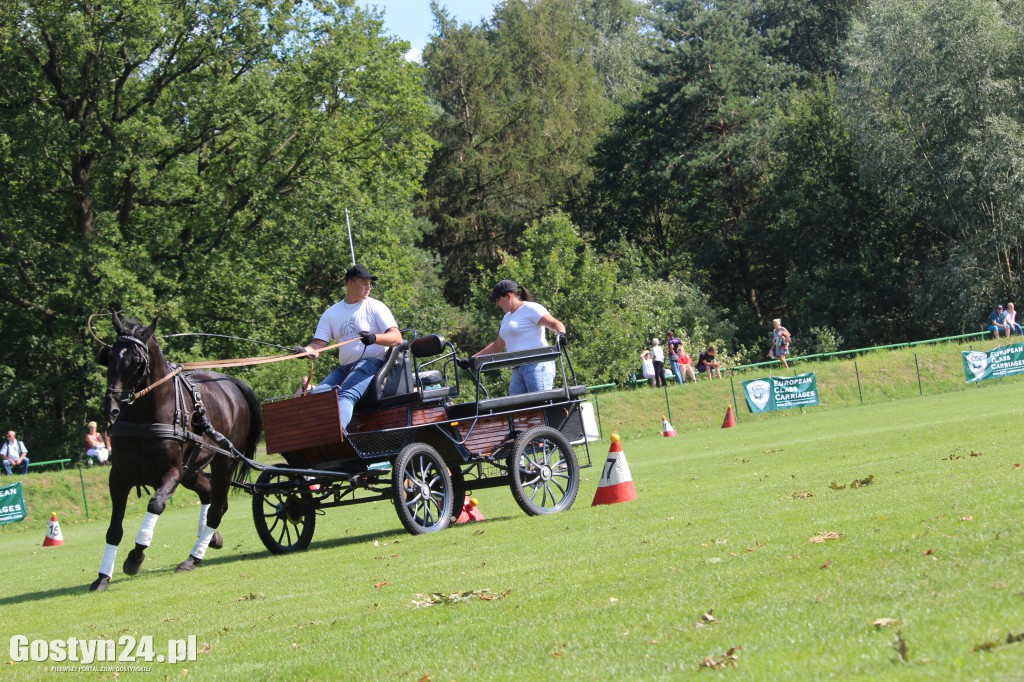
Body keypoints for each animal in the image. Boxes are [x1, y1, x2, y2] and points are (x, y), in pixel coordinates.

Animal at [89, 311, 262, 585]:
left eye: (136, 362)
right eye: (109, 357)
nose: (110, 408)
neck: (145, 416)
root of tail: (230, 381)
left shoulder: (172, 472)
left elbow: (156, 505)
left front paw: (135, 557)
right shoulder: (118, 476)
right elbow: (114, 529)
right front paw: (103, 577)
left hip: (223, 461)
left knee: (218, 508)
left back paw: (192, 558)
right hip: (193, 468)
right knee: (208, 494)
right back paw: (208, 538)